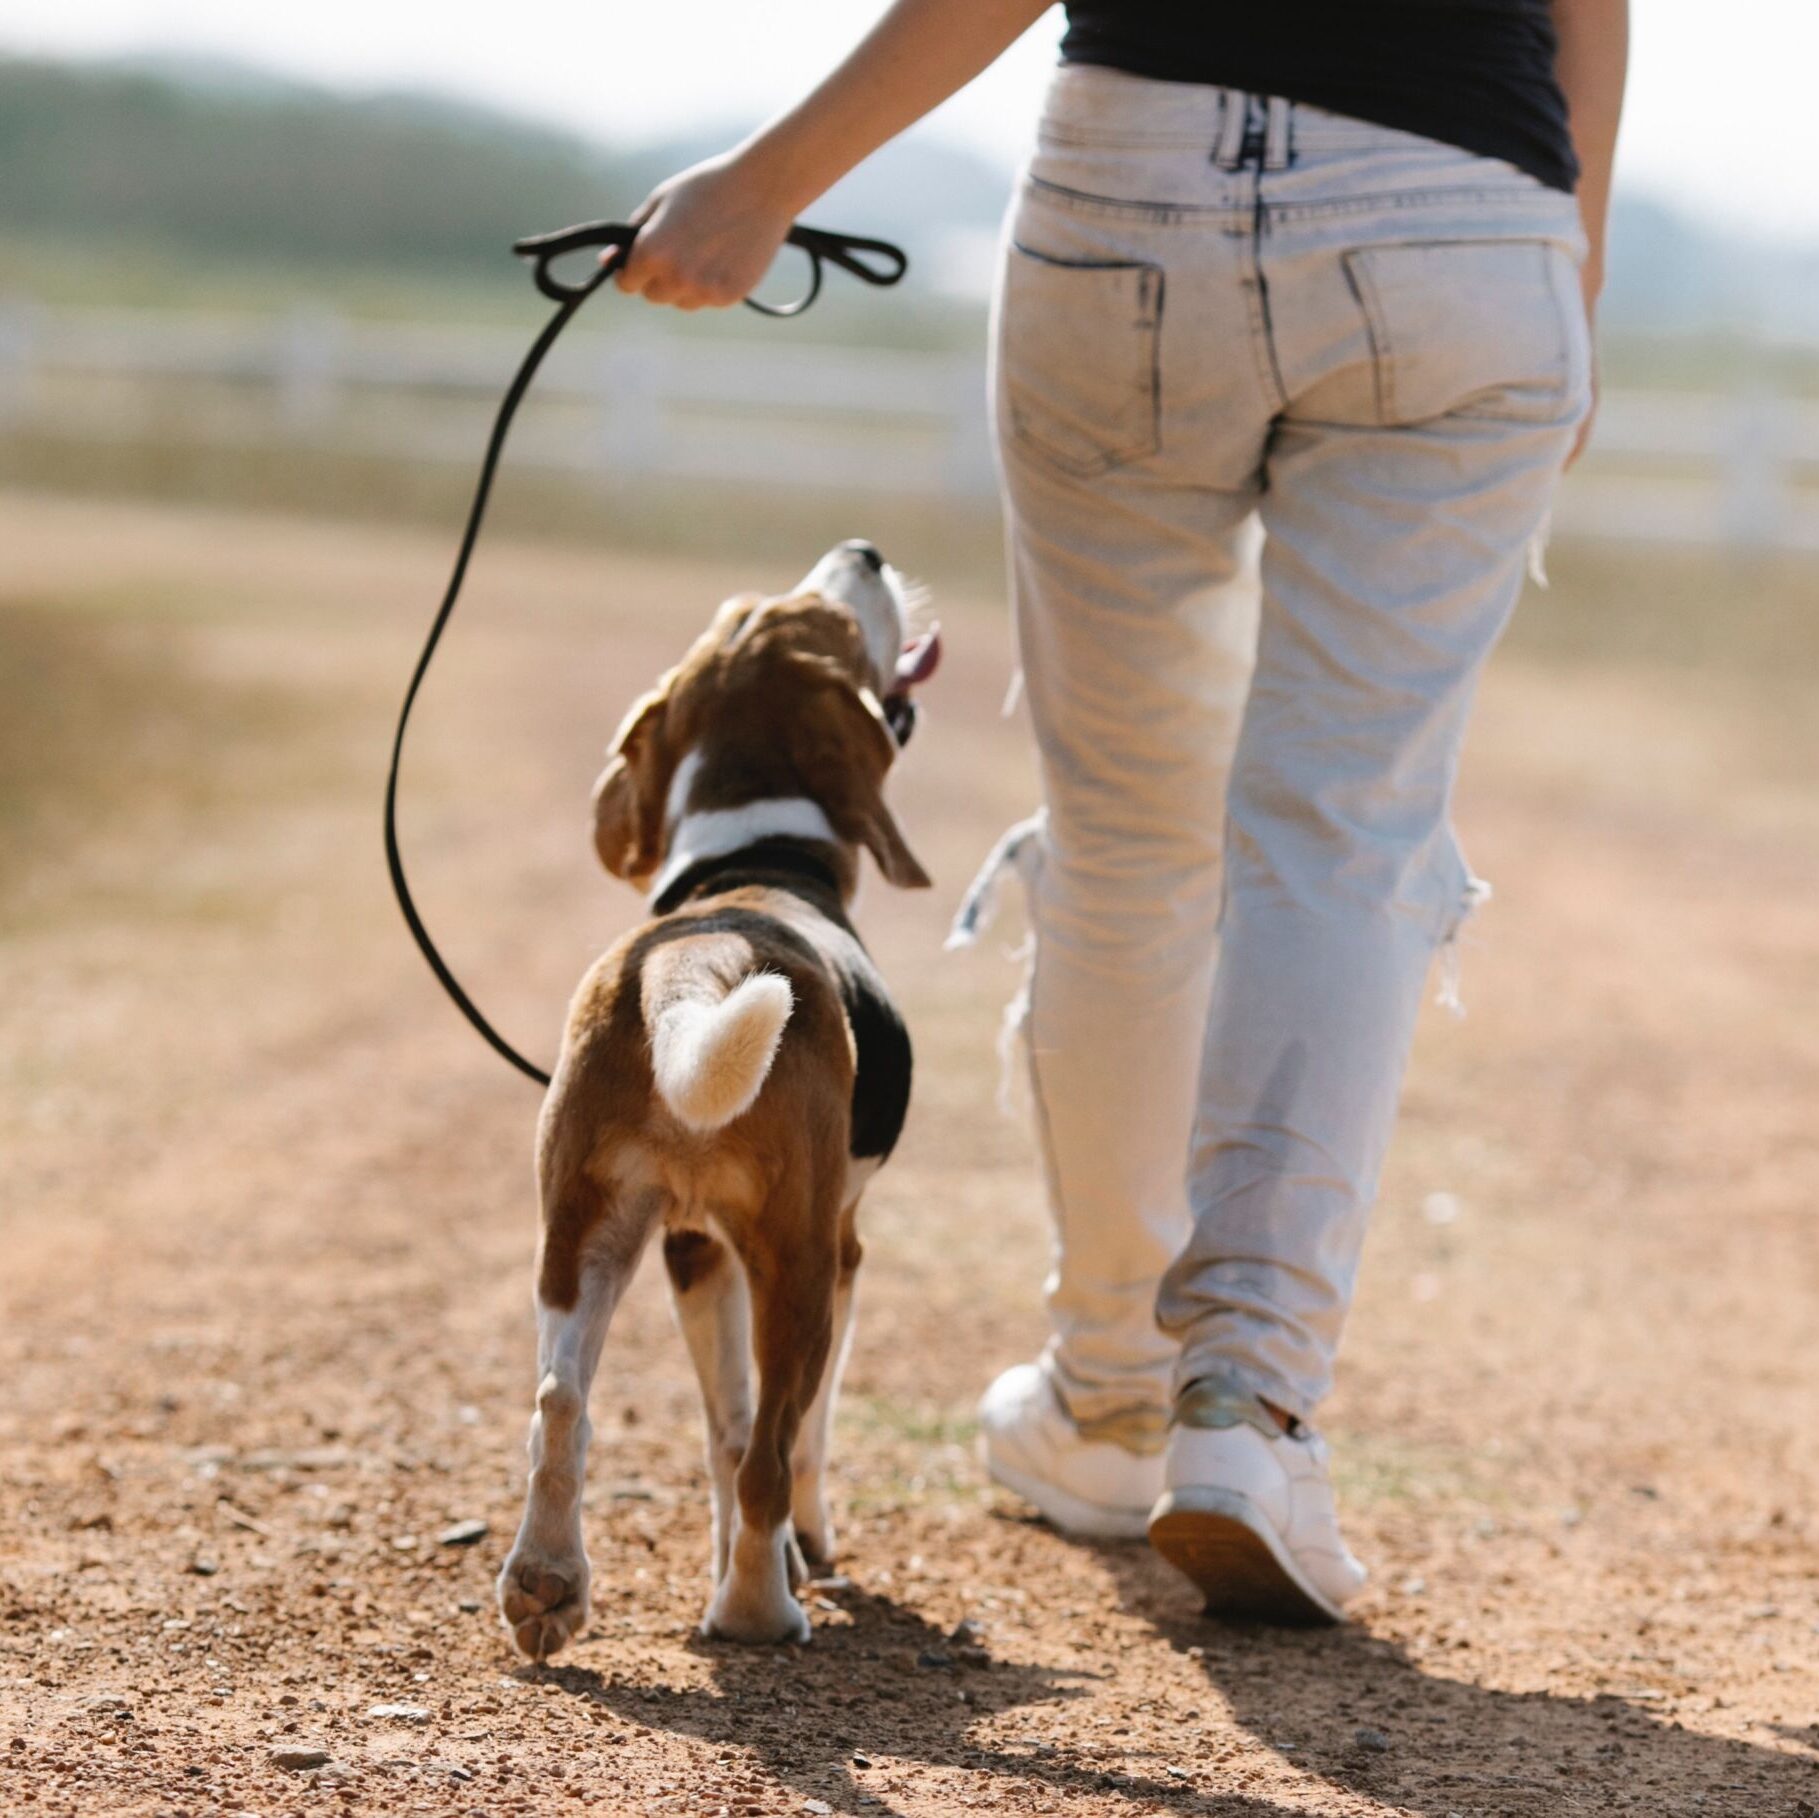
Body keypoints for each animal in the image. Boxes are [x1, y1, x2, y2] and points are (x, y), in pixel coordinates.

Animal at [498, 531, 938, 1659]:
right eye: (830, 621)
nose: (864, 549)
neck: (752, 860)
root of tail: (703, 954)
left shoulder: (692, 1250)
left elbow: (722, 1429)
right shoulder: (839, 1247)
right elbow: (789, 1441)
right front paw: (804, 1550)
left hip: (582, 1235)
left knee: (561, 1403)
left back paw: (547, 1584)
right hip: (798, 1266)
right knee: (777, 1448)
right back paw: (758, 1609)